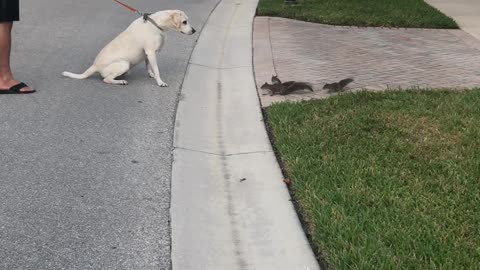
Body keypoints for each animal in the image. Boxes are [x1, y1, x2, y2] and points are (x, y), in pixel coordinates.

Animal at [62, 10, 196, 86]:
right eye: (184, 22)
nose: (194, 31)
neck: (156, 23)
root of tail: (95, 66)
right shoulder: (151, 52)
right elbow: (157, 69)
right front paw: (160, 82)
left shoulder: (147, 54)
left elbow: (148, 66)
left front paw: (151, 75)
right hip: (124, 64)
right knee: (106, 79)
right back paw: (120, 81)